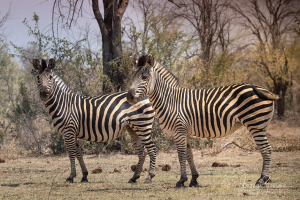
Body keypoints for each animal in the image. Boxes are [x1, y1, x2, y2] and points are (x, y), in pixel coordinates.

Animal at [126, 54, 278, 188]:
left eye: (144, 77)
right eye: (133, 77)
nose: (129, 97)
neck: (170, 101)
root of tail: (258, 87)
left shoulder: (178, 131)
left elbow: (181, 155)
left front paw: (181, 180)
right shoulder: (185, 132)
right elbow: (189, 155)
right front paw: (194, 179)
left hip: (256, 125)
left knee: (266, 149)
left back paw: (262, 180)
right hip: (259, 126)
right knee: (267, 149)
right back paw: (264, 179)